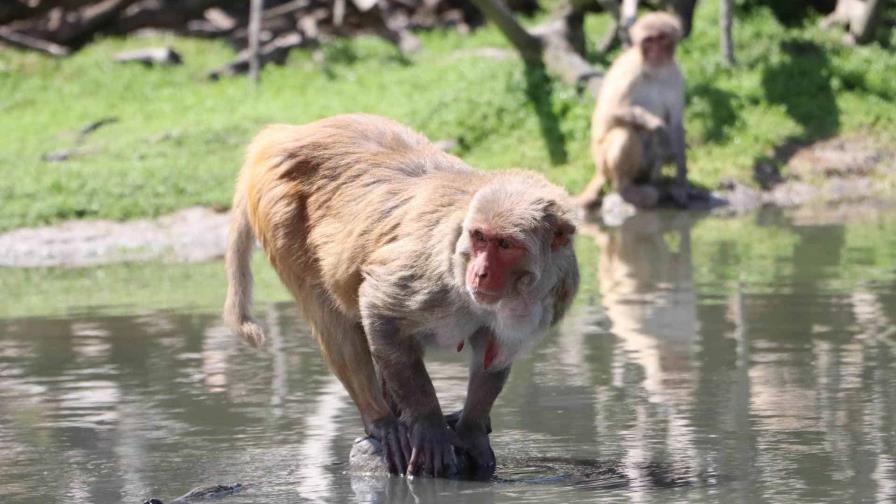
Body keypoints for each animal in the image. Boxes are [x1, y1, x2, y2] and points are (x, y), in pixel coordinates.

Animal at [220, 113, 576, 476]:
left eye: (504, 244)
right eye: (479, 238)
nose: (480, 273)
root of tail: (285, 135)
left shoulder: (552, 293)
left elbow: (493, 354)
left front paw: (471, 428)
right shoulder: (433, 278)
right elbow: (380, 305)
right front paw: (428, 423)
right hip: (279, 210)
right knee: (332, 315)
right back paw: (381, 420)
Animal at [576, 11, 688, 213]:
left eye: (662, 39)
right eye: (649, 41)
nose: (656, 52)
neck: (654, 72)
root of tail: (599, 171)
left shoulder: (676, 76)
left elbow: (676, 125)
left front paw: (681, 185)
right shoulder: (628, 70)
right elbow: (608, 112)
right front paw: (657, 126)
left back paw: (657, 181)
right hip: (603, 161)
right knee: (626, 132)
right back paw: (626, 189)